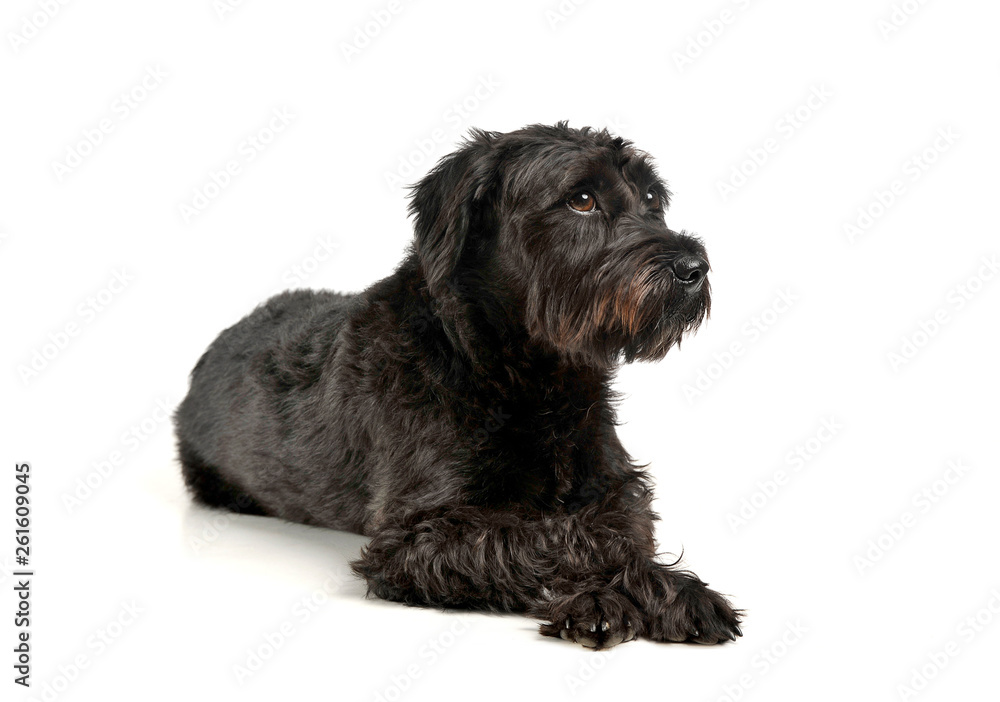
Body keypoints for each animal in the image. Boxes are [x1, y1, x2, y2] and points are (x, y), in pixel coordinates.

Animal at [176, 121, 744, 648]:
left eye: (651, 199)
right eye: (581, 199)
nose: (694, 267)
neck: (527, 377)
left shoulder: (616, 482)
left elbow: (621, 526)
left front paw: (668, 588)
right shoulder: (413, 539)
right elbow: (554, 536)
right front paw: (608, 596)